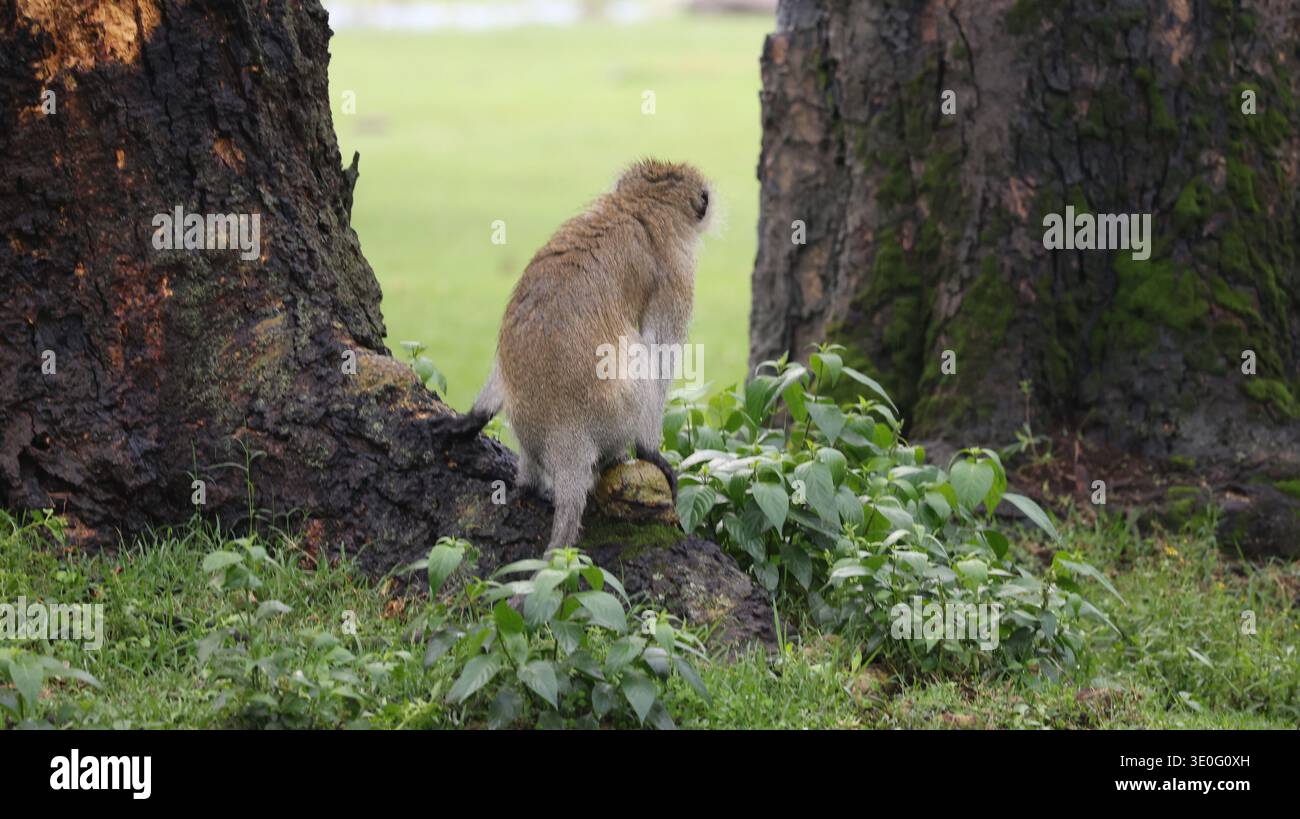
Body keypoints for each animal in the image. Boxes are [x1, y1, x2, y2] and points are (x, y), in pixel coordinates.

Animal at [448, 158, 714, 552]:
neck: (636, 206)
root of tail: (566, 431)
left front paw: (473, 417)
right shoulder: (676, 275)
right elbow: (659, 355)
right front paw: (650, 451)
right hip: (614, 415)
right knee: (639, 359)